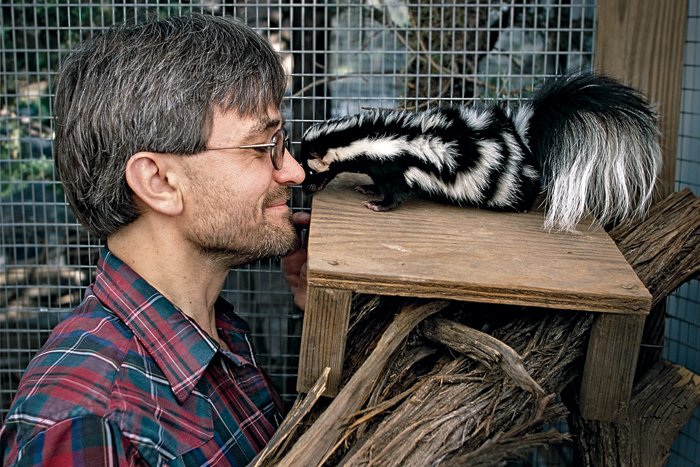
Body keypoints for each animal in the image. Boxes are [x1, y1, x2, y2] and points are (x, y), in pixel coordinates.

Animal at [300, 72, 660, 231]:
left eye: (309, 170)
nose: (306, 188)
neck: (370, 136)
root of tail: (520, 139)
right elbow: (378, 181)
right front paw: (367, 187)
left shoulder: (397, 163)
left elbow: (396, 192)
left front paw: (378, 204)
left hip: (505, 180)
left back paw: (522, 206)